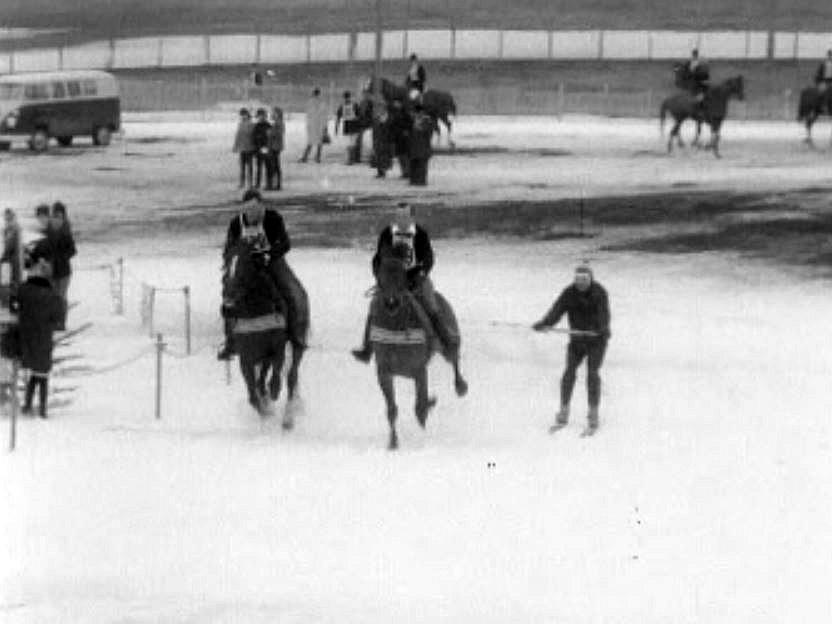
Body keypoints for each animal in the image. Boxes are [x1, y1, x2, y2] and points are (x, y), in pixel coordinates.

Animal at [366, 241, 464, 450]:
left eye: (402, 277)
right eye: (380, 277)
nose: (391, 302)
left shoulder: (419, 370)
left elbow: (420, 406)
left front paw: (422, 434)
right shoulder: (384, 372)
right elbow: (392, 409)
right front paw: (393, 443)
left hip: (446, 340)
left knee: (454, 357)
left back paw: (461, 386)